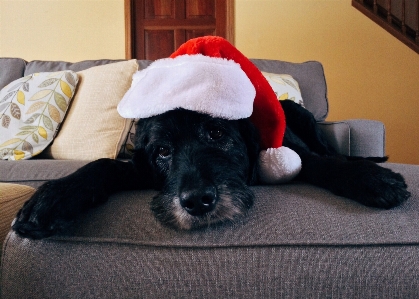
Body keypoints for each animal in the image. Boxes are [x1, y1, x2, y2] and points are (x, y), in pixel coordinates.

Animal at [12, 99, 410, 240]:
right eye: (163, 151)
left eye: (217, 132)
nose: (197, 201)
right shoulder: (139, 168)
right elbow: (104, 166)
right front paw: (52, 199)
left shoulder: (297, 155)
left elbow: (326, 163)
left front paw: (373, 179)